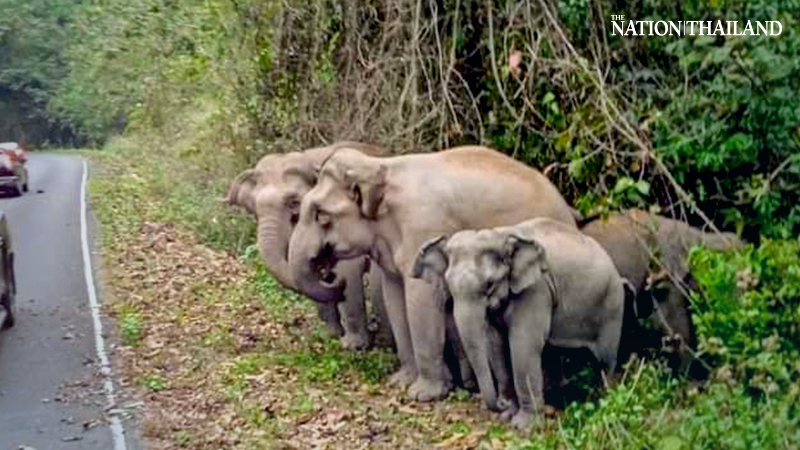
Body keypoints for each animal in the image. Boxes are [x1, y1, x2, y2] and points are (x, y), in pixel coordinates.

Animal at [227, 141, 391, 350]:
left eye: (294, 202)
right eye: (254, 207)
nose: (332, 280)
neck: (310, 157)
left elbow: (349, 270)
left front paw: (353, 347)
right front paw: (330, 336)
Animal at [287, 145, 577, 401]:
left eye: (321, 215)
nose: (333, 276)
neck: (382, 168)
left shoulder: (423, 226)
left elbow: (421, 303)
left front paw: (423, 395)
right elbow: (395, 299)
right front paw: (401, 382)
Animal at [413, 218, 626, 430]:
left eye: (490, 284)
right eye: (448, 285)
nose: (500, 404)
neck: (501, 235)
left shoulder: (536, 289)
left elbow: (523, 345)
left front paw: (523, 425)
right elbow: (496, 345)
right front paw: (508, 414)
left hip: (612, 306)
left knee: (605, 360)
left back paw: (604, 401)